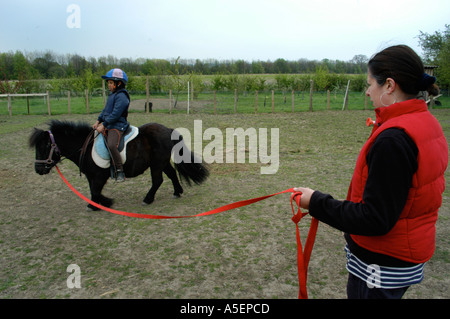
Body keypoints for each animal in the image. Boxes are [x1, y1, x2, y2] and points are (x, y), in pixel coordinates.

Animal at [29, 120, 209, 210]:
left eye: (45, 146)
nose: (38, 169)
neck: (85, 146)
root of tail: (169, 130)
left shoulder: (99, 175)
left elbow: (96, 191)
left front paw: (104, 203)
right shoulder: (91, 176)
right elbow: (93, 190)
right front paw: (95, 204)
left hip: (157, 164)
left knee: (157, 181)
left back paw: (148, 199)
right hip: (161, 162)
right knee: (171, 175)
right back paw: (177, 192)